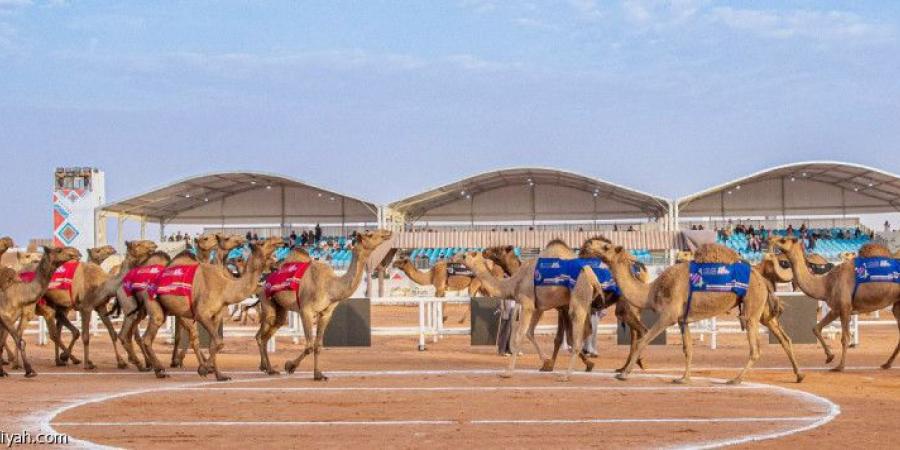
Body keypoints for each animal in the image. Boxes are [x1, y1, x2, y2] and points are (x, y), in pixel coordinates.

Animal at [143, 236, 282, 380]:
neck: (225, 287)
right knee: (149, 336)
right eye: (262, 242)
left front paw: (220, 375)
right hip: (153, 301)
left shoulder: (215, 316)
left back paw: (159, 369)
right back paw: (160, 369)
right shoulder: (202, 314)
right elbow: (218, 342)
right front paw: (203, 369)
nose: (279, 240)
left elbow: (214, 344)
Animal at [255, 230, 392, 382]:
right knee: (261, 335)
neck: (330, 286)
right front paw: (289, 366)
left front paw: (318, 375)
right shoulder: (306, 311)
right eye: (370, 234)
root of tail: (264, 280)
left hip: (281, 309)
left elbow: (318, 345)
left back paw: (267, 368)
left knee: (270, 331)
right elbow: (309, 345)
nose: (387, 233)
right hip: (267, 300)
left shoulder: (326, 313)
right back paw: (268, 368)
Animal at [596, 241, 800, 384]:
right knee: (784, 338)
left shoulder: (668, 315)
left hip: (752, 307)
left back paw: (735, 380)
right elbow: (688, 349)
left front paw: (623, 374)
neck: (651, 291)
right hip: (763, 309)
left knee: (755, 348)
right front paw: (683, 378)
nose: (592, 245)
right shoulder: (682, 320)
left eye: (606, 247)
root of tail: (761, 278)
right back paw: (799, 375)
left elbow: (643, 340)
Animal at [768, 237, 896, 370]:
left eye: (783, 240)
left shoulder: (845, 308)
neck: (826, 283)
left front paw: (840, 366)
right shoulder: (836, 309)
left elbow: (845, 338)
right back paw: (887, 363)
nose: (771, 239)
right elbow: (816, 328)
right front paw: (830, 357)